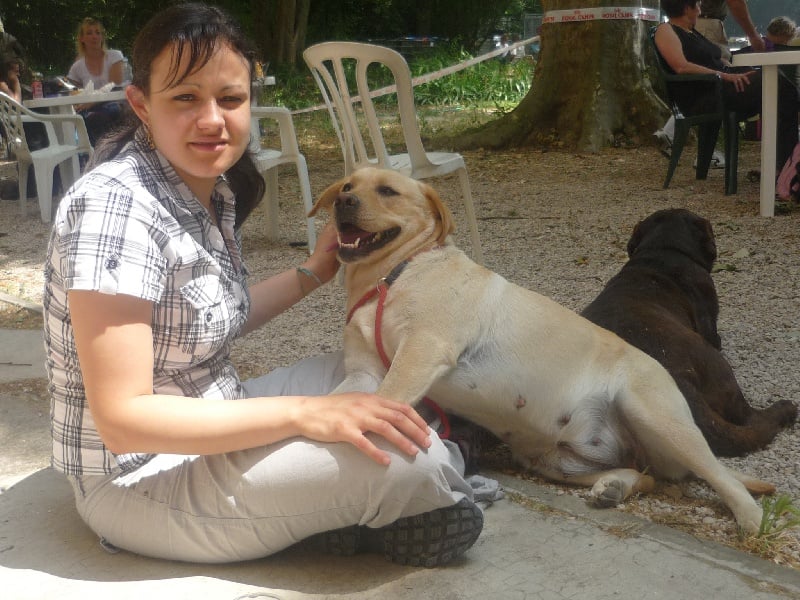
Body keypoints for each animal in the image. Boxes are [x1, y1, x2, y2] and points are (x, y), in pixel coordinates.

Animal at [309, 167, 771, 533]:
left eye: (388, 191)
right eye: (348, 184)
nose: (344, 201)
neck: (394, 275)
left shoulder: (422, 352)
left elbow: (384, 400)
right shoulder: (365, 373)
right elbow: (331, 401)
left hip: (659, 418)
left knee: (719, 475)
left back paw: (750, 519)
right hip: (557, 462)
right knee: (648, 476)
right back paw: (614, 486)